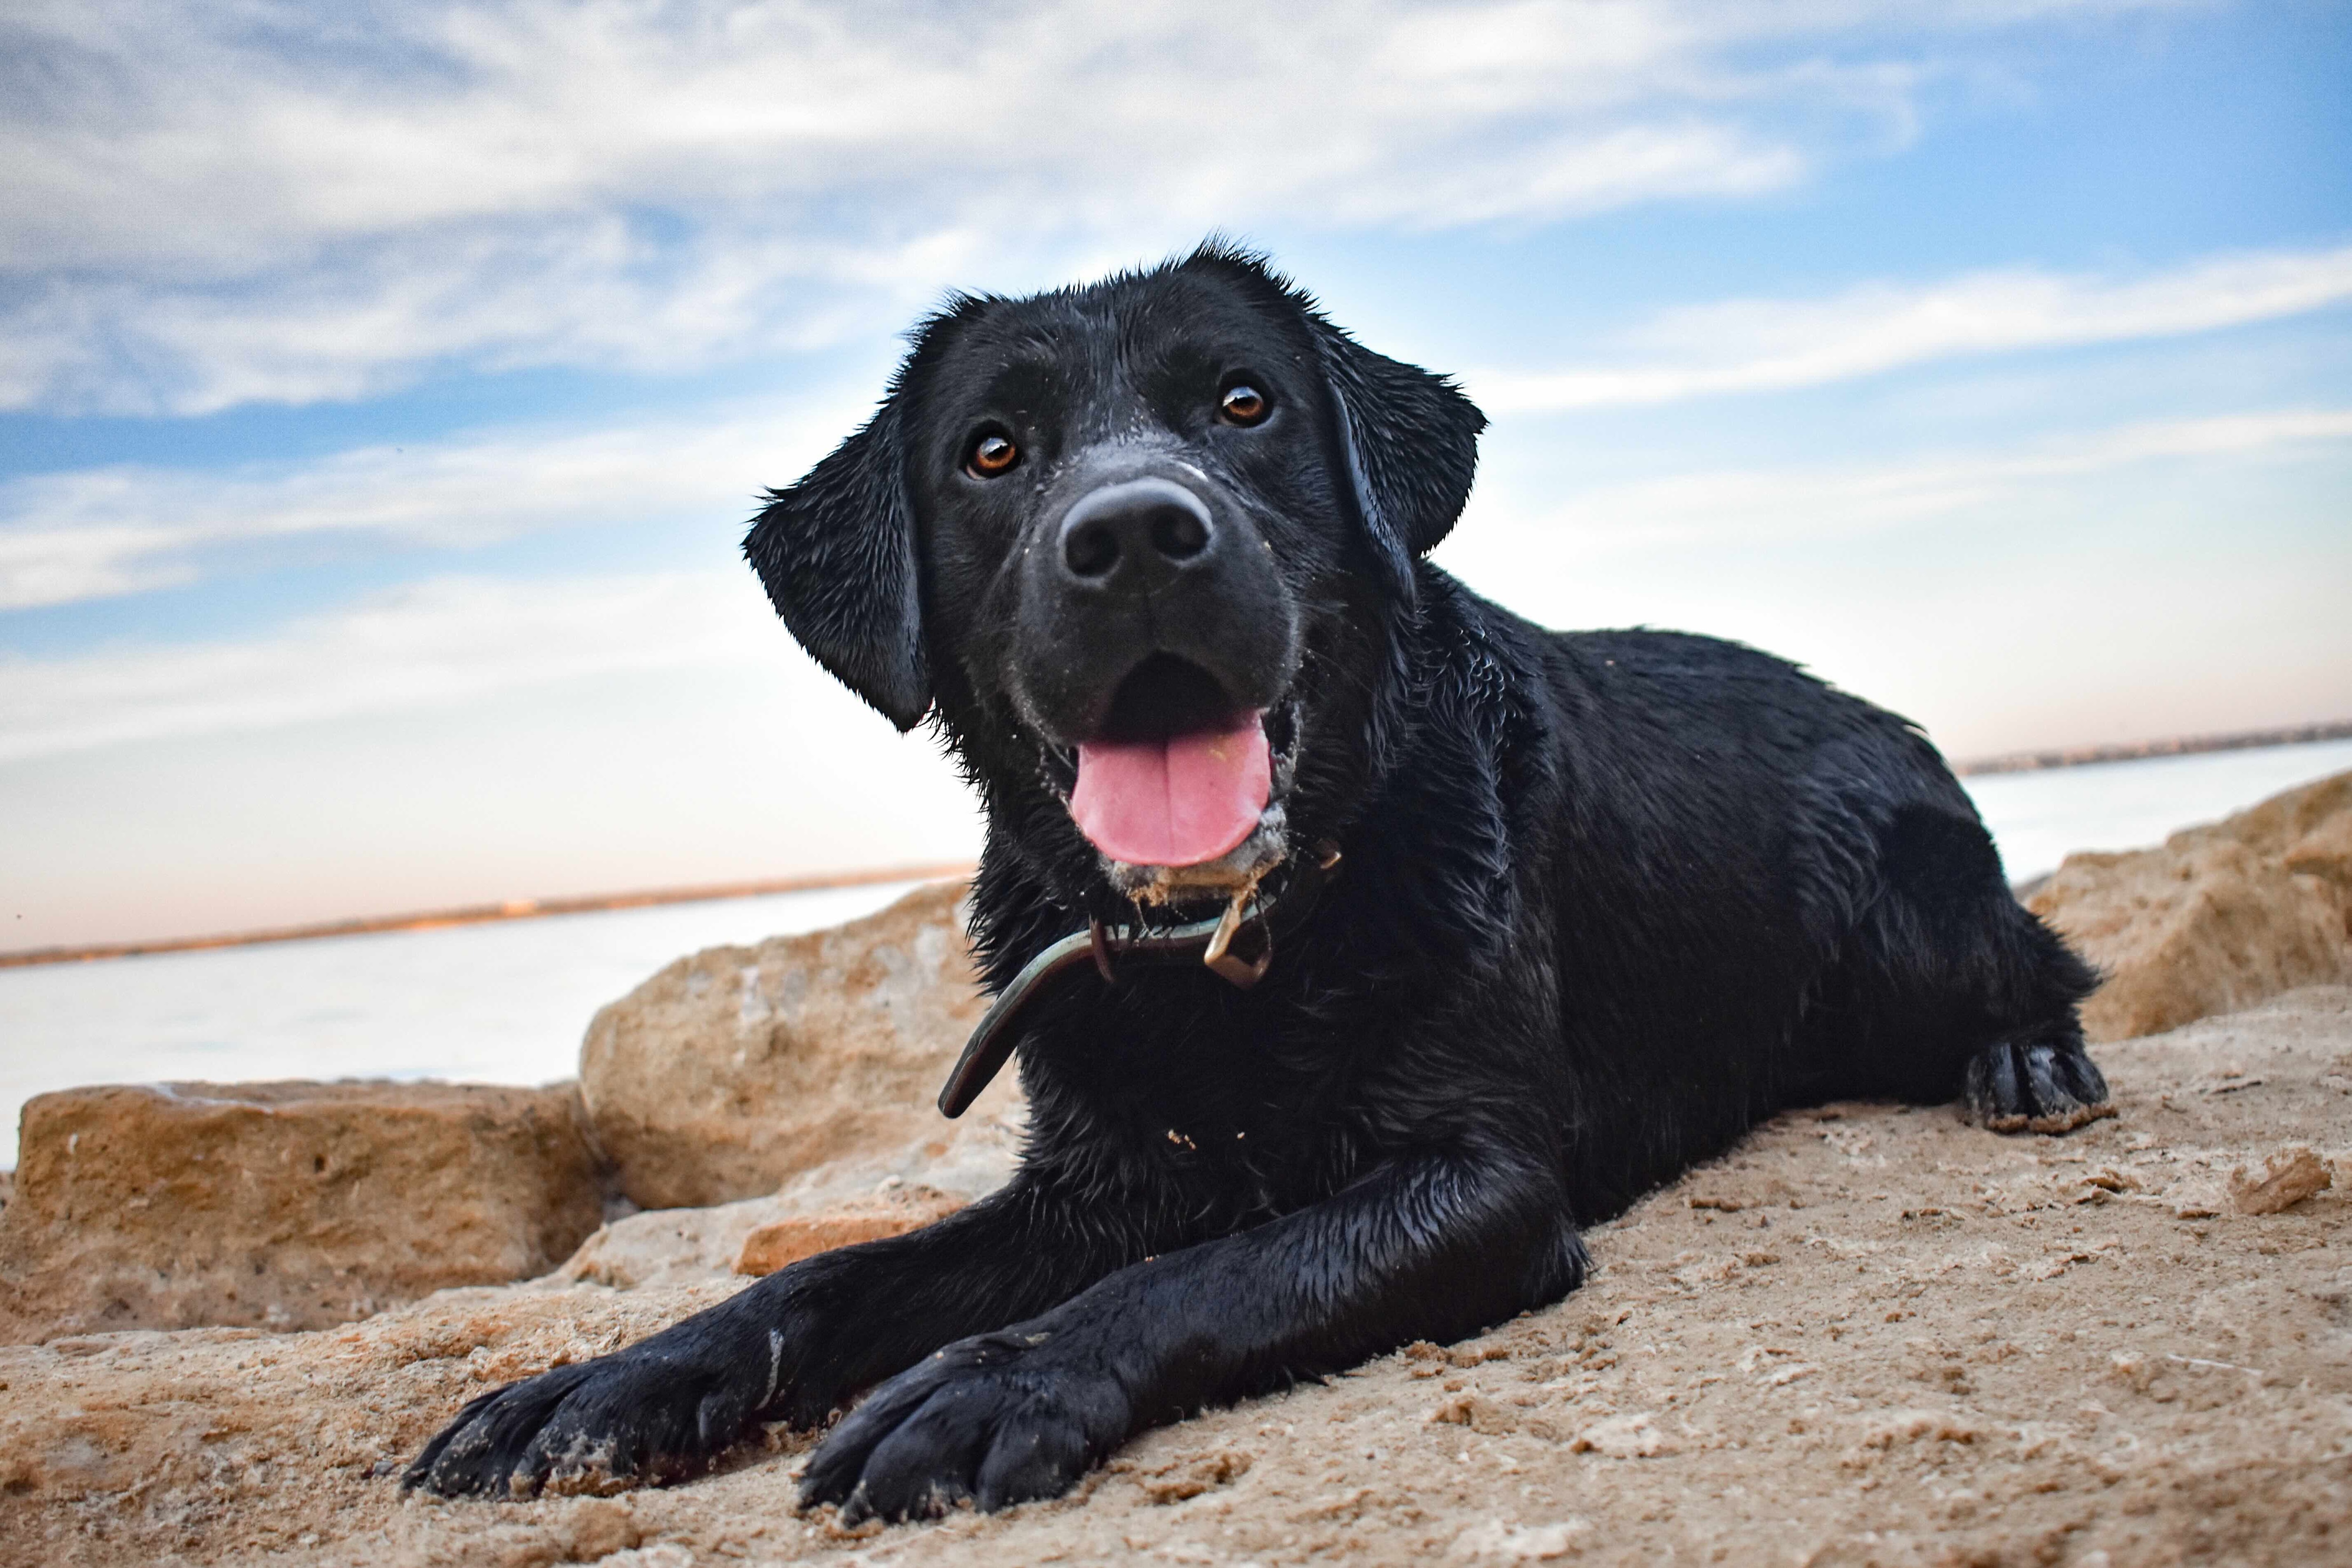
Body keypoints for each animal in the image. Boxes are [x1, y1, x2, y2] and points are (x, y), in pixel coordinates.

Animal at [409, 246, 2117, 1523]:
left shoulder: (1482, 1179)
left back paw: (2030, 1060)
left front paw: (992, 1383)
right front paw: (599, 1385)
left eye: (1245, 403)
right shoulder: (1088, 1181)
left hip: (1912, 929)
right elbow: (831, 1276)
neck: (1221, 945)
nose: (1134, 536)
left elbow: (1219, 1265)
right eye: (992, 452)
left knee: (2041, 960)